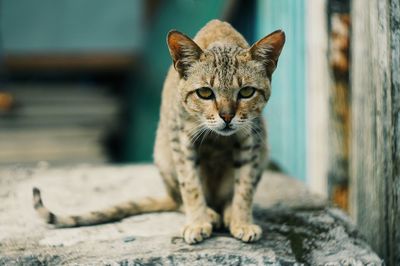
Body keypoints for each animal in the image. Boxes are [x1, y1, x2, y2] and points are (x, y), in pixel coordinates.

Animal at [33, 20, 284, 245]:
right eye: (204, 93)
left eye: (247, 92)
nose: (227, 117)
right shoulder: (181, 139)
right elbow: (191, 186)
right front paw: (198, 222)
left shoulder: (250, 139)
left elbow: (245, 187)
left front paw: (242, 221)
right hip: (164, 155)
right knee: (179, 199)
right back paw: (210, 214)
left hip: (263, 152)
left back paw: (227, 213)